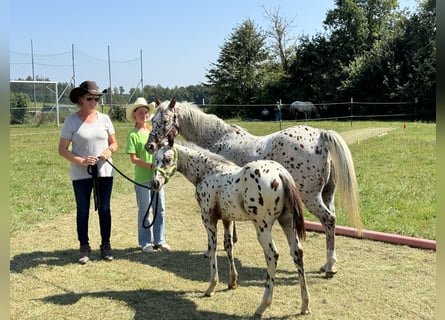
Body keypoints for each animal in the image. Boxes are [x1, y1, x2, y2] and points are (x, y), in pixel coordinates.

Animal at [146, 99, 360, 278]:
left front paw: (211, 250)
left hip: (311, 198)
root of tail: (321, 136)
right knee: (331, 221)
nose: (149, 146)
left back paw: (330, 266)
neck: (216, 138)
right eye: (152, 119)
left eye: (164, 120)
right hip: (327, 195)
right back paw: (328, 264)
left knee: (328, 220)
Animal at [149, 136, 308, 316]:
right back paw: (305, 305)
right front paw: (232, 282)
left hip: (263, 227)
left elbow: (212, 248)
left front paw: (211, 287)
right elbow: (228, 246)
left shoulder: (208, 219)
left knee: (272, 255)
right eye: (155, 160)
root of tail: (281, 173)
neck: (208, 171)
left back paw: (262, 306)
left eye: (168, 159)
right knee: (297, 252)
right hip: (287, 222)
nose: (155, 183)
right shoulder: (227, 219)